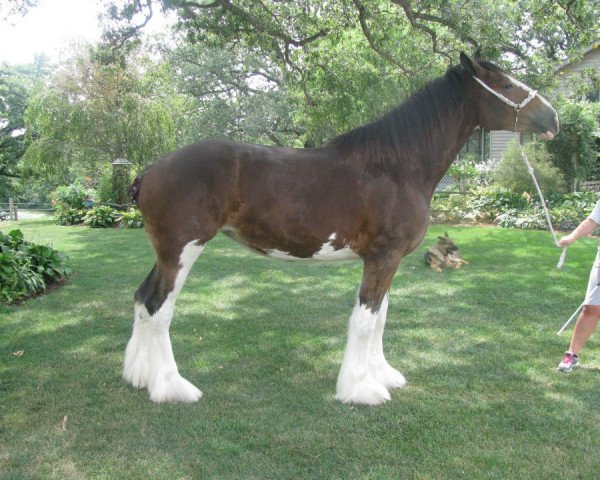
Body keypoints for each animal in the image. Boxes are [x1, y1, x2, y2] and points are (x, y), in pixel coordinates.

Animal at [124, 52, 560, 404]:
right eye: (505, 84)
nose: (553, 117)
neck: (397, 165)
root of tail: (150, 171)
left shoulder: (390, 261)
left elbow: (381, 317)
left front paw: (384, 376)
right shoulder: (382, 257)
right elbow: (365, 321)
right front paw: (362, 391)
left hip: (165, 253)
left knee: (142, 298)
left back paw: (138, 376)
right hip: (184, 250)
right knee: (158, 308)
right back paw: (172, 389)